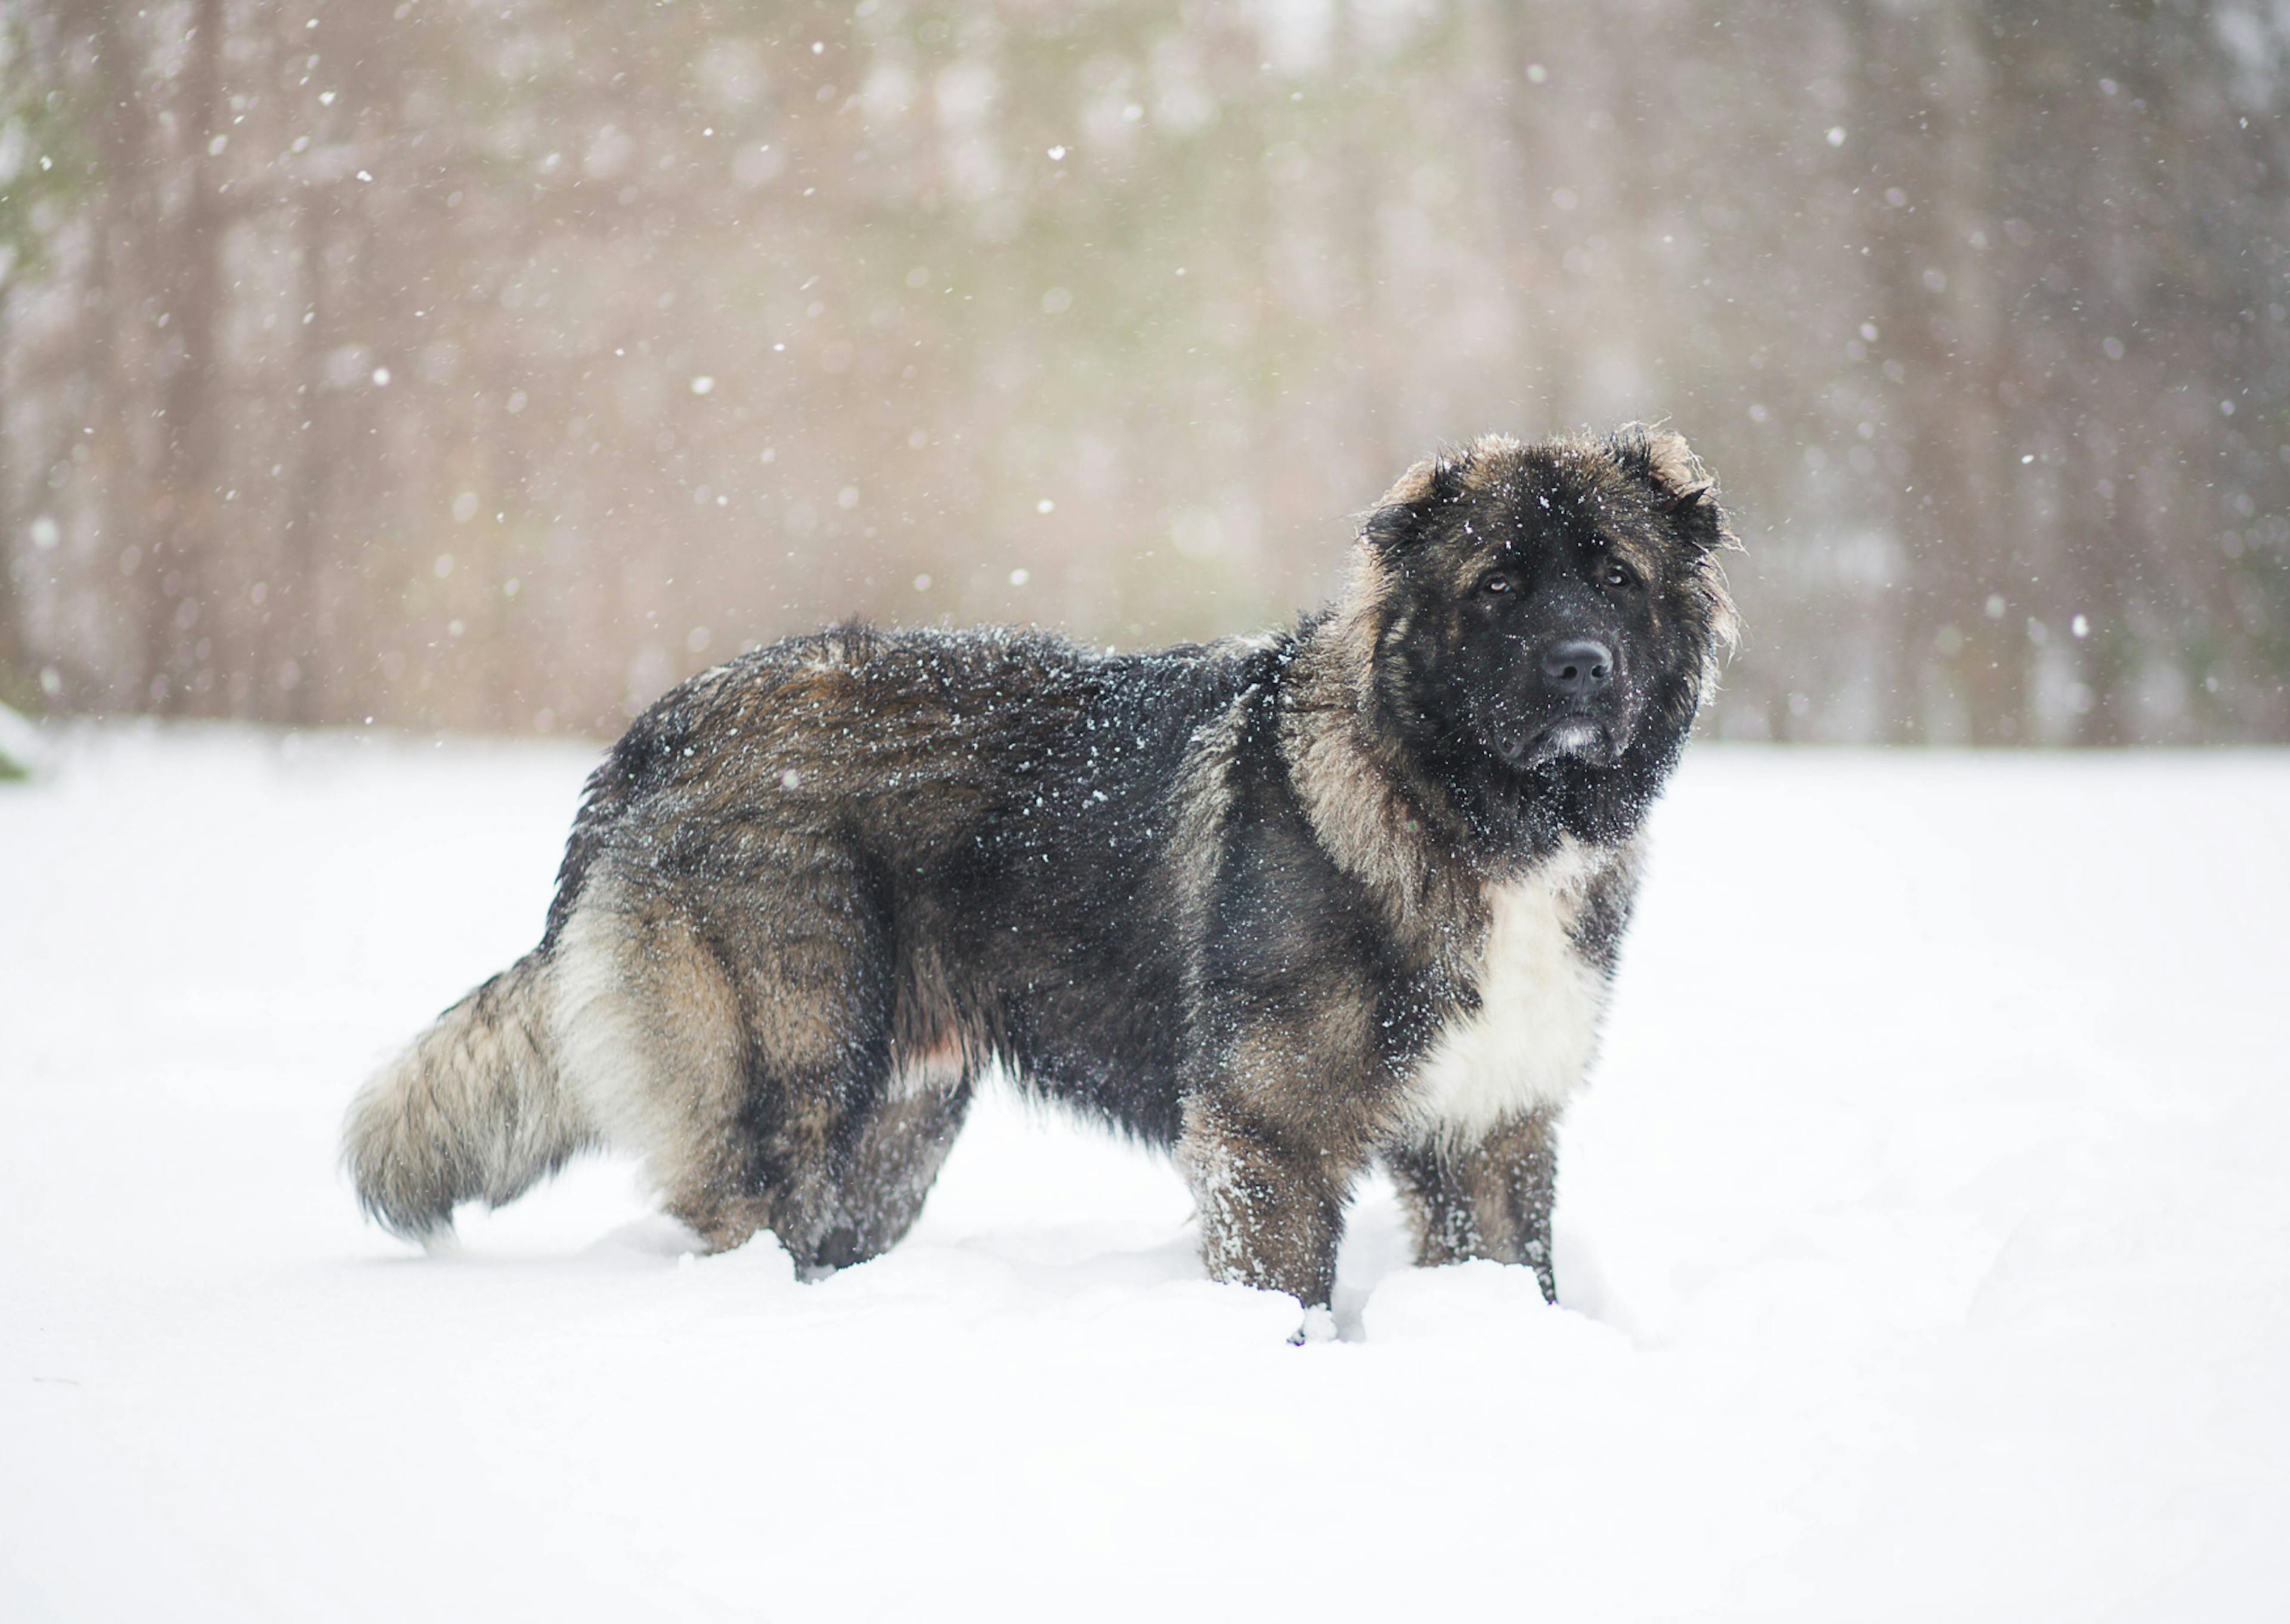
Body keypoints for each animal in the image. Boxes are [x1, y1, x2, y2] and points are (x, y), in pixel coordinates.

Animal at [344, 428, 1731, 1319]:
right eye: (1498, 585)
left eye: (1616, 576)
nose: (1581, 668)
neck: (1470, 809)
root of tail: (661, 729)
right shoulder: (1269, 1133)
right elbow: (1286, 1295)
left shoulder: (1494, 1130)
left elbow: (1518, 1276)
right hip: (791, 1084)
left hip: (896, 1133)